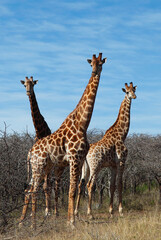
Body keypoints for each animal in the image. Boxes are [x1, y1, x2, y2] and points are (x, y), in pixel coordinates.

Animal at [19, 52, 107, 227]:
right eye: (91, 64)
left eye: (100, 63)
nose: (94, 72)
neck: (82, 123)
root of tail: (31, 152)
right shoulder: (73, 158)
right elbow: (71, 190)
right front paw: (71, 222)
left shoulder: (79, 159)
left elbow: (75, 188)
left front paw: (71, 218)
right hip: (39, 166)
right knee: (34, 190)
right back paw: (32, 223)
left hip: (41, 167)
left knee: (31, 189)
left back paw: (25, 221)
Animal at [75, 82, 136, 219]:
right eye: (127, 92)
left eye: (134, 90)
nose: (134, 96)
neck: (122, 134)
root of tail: (86, 154)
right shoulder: (121, 162)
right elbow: (120, 184)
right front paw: (121, 211)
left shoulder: (112, 165)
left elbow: (112, 186)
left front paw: (111, 212)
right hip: (95, 166)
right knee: (90, 185)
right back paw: (90, 214)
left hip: (85, 167)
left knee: (81, 184)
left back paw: (76, 212)